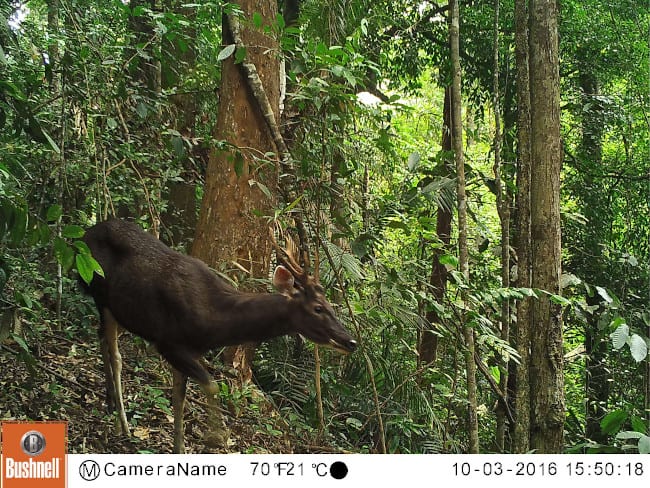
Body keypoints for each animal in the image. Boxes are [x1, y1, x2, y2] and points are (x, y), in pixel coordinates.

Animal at [81, 219, 356, 452]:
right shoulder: (168, 342)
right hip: (100, 293)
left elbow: (178, 399)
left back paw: (111, 404)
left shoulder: (188, 351)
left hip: (122, 311)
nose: (351, 341)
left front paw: (180, 449)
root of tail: (87, 233)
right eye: (318, 308)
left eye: (331, 305)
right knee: (115, 353)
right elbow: (211, 385)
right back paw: (122, 423)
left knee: (102, 337)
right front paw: (216, 436)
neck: (214, 322)